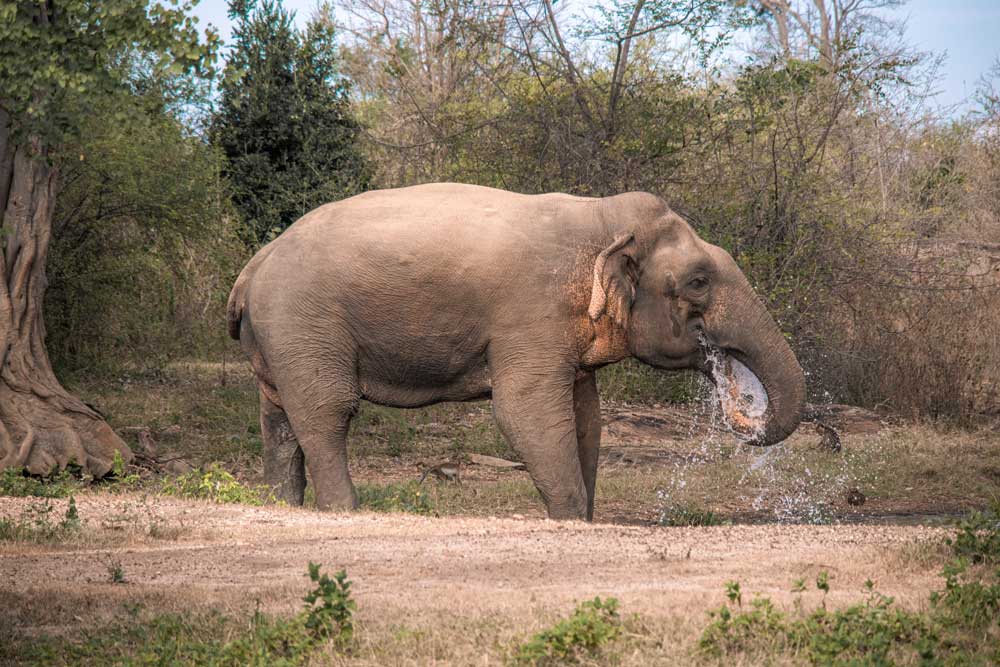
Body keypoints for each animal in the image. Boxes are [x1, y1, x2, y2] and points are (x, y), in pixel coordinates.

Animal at [227, 183, 806, 521]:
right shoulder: (533, 312)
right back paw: (344, 512)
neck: (602, 220)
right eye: (699, 281)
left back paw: (284, 506)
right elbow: (526, 412)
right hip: (305, 323)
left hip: (281, 338)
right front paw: (570, 519)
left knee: (278, 419)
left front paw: (583, 519)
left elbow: (586, 417)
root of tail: (253, 266)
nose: (739, 396)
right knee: (327, 411)